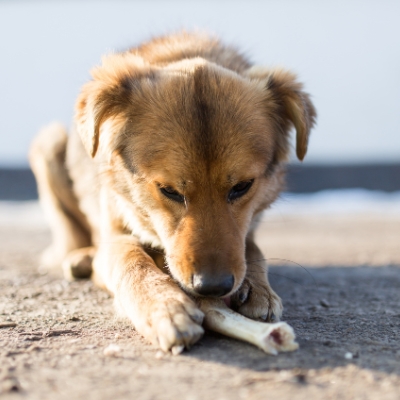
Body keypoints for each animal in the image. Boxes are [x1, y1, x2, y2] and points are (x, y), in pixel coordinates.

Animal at [29, 31, 318, 352]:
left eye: (242, 187)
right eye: (168, 190)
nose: (212, 287)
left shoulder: (248, 226)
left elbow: (251, 247)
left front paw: (257, 287)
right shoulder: (115, 230)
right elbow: (130, 261)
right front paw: (164, 306)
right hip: (49, 143)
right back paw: (80, 259)